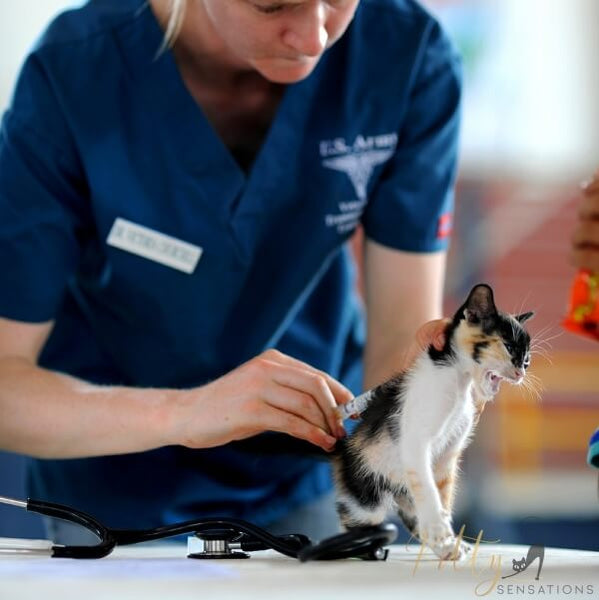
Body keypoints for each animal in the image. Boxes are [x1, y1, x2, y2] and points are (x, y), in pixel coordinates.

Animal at [332, 284, 536, 560]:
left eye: (527, 358)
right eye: (509, 346)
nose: (522, 371)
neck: (458, 380)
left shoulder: (448, 453)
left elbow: (442, 494)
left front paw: (448, 540)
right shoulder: (415, 442)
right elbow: (428, 489)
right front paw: (442, 533)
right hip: (366, 493)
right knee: (356, 520)